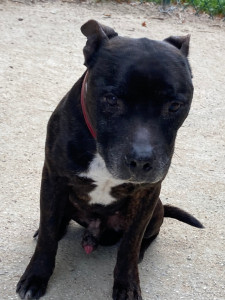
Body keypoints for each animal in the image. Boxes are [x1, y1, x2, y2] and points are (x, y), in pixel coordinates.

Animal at [16, 19, 203, 298]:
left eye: (174, 105)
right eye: (112, 99)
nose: (141, 161)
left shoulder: (147, 194)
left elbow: (129, 246)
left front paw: (127, 283)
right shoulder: (54, 178)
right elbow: (48, 232)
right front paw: (36, 275)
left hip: (156, 208)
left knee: (148, 236)